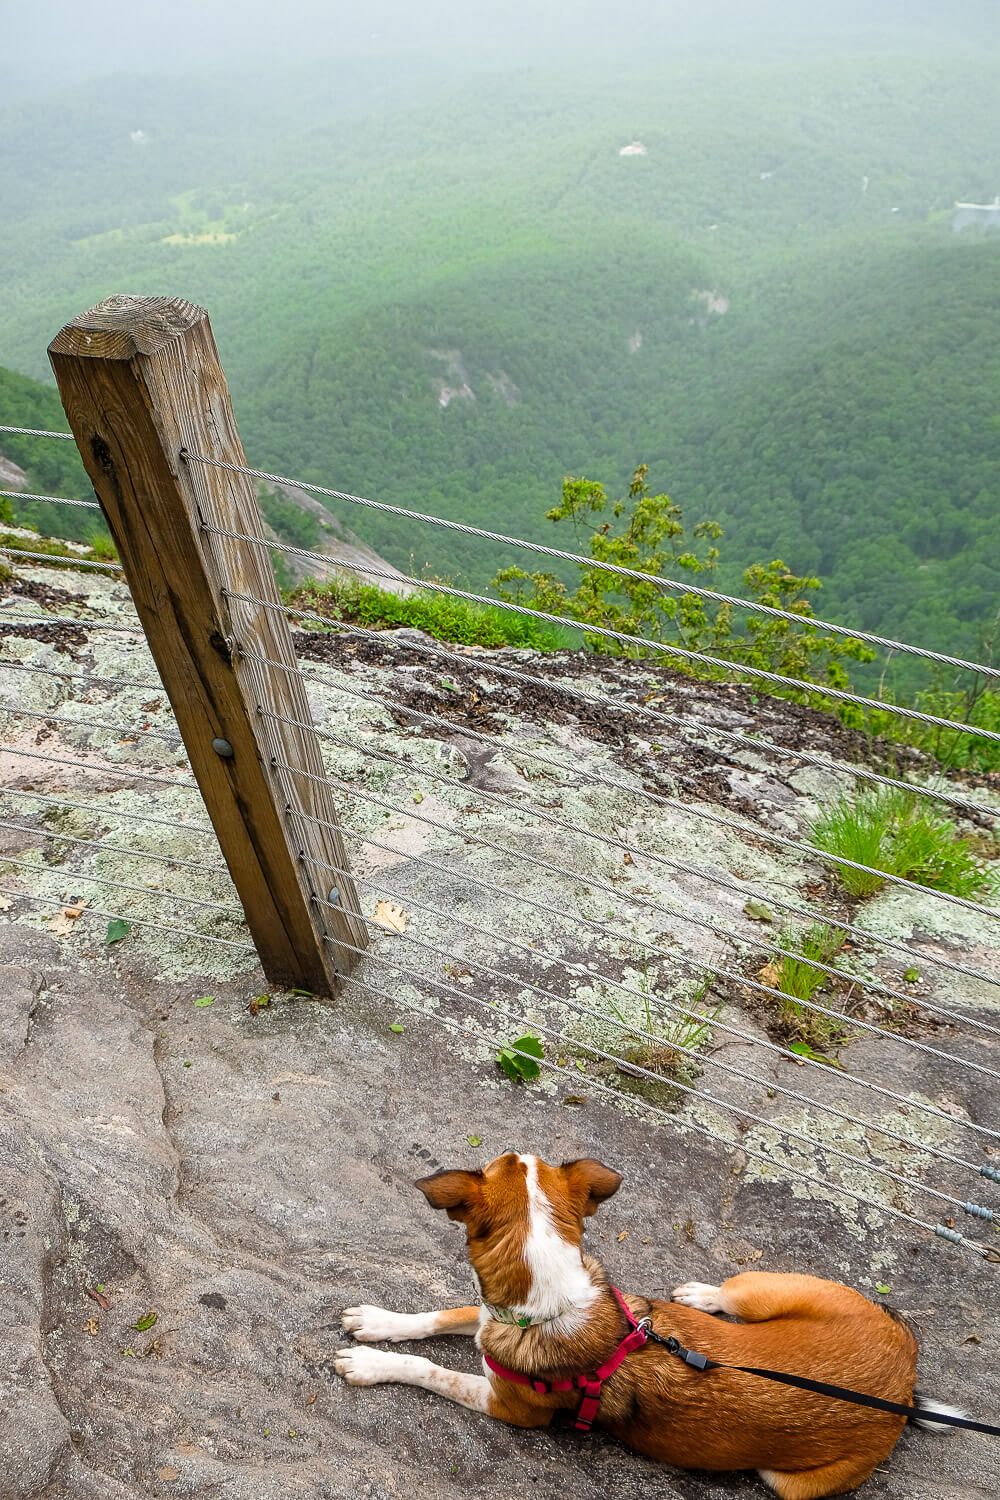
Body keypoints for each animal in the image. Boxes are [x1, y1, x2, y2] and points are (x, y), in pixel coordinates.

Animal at [334, 1152, 953, 1494]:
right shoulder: (491, 1316)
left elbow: (429, 1369)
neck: (552, 1299)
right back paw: (696, 1296)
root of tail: (905, 1380)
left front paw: (370, 1363)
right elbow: (441, 1314)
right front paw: (376, 1324)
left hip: (784, 1475)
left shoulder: (510, 1407)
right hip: (775, 1290)